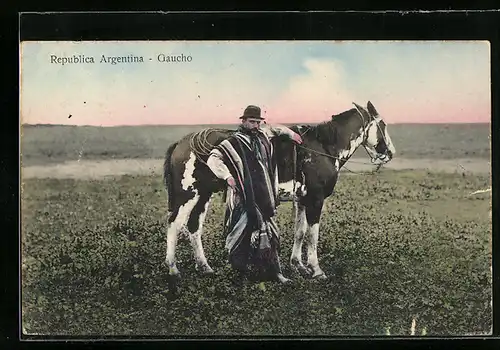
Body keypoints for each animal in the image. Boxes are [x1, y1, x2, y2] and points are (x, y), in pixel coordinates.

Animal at [162, 100, 396, 282]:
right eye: (383, 124)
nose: (390, 153)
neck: (323, 148)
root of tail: (180, 144)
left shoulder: (302, 200)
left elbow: (300, 232)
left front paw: (298, 265)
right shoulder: (316, 200)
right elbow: (312, 235)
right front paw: (316, 269)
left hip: (203, 195)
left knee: (194, 227)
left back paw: (204, 267)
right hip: (187, 195)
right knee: (175, 225)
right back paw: (173, 269)